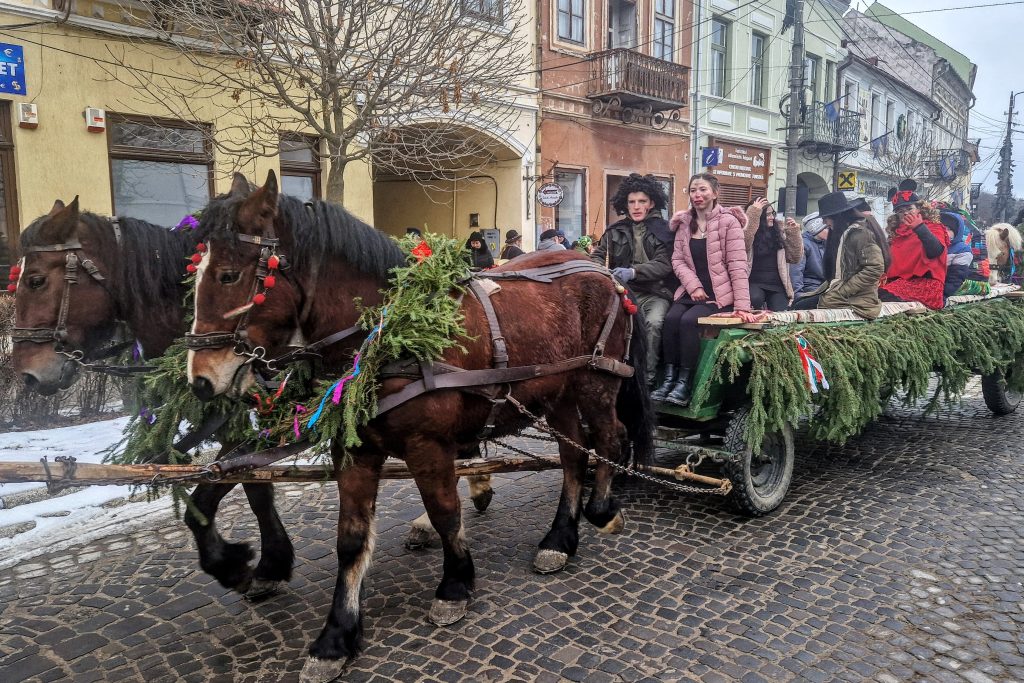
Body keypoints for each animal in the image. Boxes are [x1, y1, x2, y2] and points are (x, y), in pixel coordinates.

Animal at [12, 197, 296, 598]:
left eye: (36, 280)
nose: (26, 374)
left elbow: (207, 497)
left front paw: (232, 563)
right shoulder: (242, 425)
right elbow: (255, 489)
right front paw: (265, 563)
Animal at [187, 172, 651, 683]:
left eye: (229, 275)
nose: (200, 379)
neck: (386, 335)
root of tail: (604, 271)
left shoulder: (428, 446)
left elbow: (446, 512)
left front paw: (455, 584)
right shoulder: (355, 452)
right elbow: (350, 539)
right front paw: (335, 637)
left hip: (596, 381)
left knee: (610, 440)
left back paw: (602, 510)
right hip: (556, 395)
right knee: (573, 455)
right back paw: (559, 540)